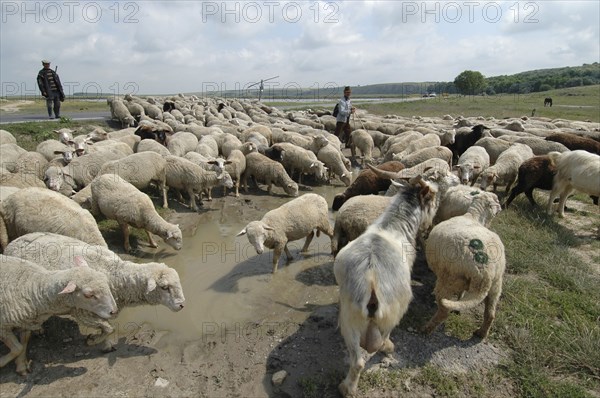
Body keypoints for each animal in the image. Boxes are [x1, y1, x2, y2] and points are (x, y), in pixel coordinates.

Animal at [5, 233, 183, 352]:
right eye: (164, 287)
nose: (182, 305)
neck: (115, 273)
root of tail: (12, 242)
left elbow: (108, 327)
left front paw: (105, 344)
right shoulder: (82, 311)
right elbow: (109, 329)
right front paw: (94, 341)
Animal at [422, 190, 506, 338]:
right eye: (496, 200)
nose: (501, 208)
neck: (473, 216)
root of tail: (485, 272)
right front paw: (459, 301)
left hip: (449, 279)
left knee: (443, 312)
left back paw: (426, 329)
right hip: (496, 285)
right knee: (490, 314)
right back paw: (481, 333)